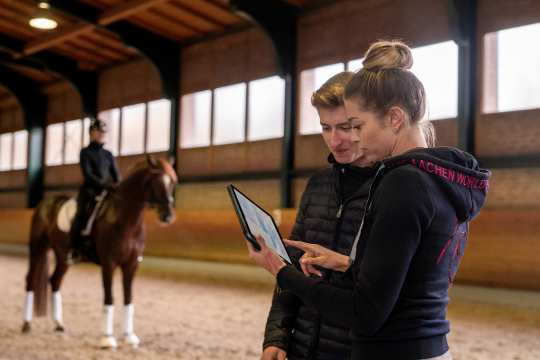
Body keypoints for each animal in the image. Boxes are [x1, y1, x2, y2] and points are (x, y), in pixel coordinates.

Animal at [21, 158, 177, 348]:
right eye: (155, 182)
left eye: (172, 183)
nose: (167, 216)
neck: (124, 220)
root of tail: (45, 203)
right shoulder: (109, 264)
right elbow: (109, 298)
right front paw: (107, 339)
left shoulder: (131, 265)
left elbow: (128, 299)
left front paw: (129, 336)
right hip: (37, 248)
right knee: (31, 280)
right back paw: (26, 324)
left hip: (63, 257)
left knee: (55, 281)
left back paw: (59, 325)